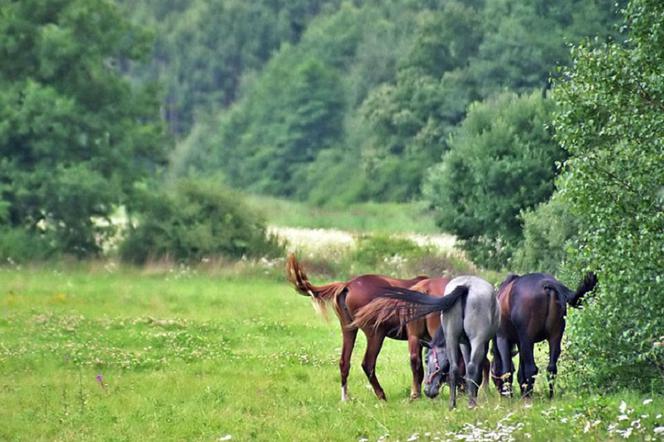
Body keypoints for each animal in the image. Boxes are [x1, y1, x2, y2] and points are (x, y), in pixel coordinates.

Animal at [286, 252, 456, 400]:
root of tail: (347, 285)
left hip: (349, 329)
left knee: (344, 362)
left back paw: (345, 398)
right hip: (376, 334)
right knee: (368, 363)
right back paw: (382, 395)